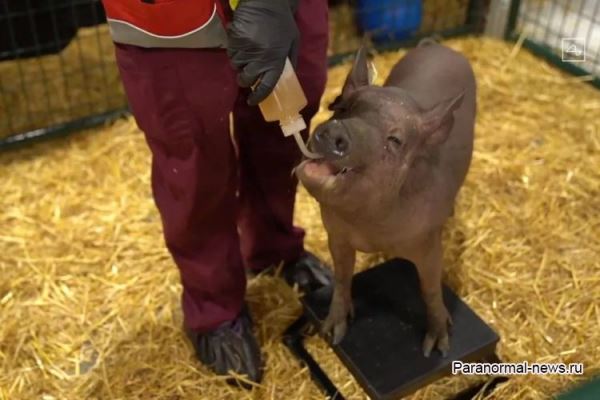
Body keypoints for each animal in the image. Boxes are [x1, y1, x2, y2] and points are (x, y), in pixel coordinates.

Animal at [292, 39, 476, 356]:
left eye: (395, 140)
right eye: (342, 106)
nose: (336, 129)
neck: (369, 226)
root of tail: (438, 46)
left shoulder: (428, 244)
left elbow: (430, 289)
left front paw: (436, 348)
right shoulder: (336, 235)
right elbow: (342, 277)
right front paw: (332, 333)